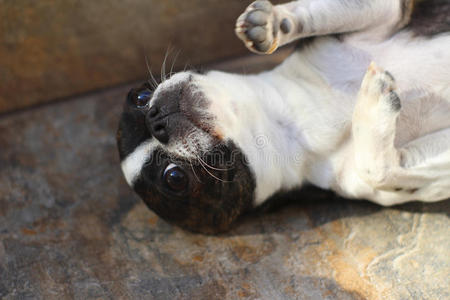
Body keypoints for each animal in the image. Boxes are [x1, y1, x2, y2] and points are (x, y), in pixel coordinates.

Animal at [117, 0, 450, 234]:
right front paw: (371, 105)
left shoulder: (386, 15)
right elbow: (378, 169)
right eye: (174, 178)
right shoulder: (370, 176)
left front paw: (272, 22)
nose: (156, 120)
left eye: (139, 97)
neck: (291, 124)